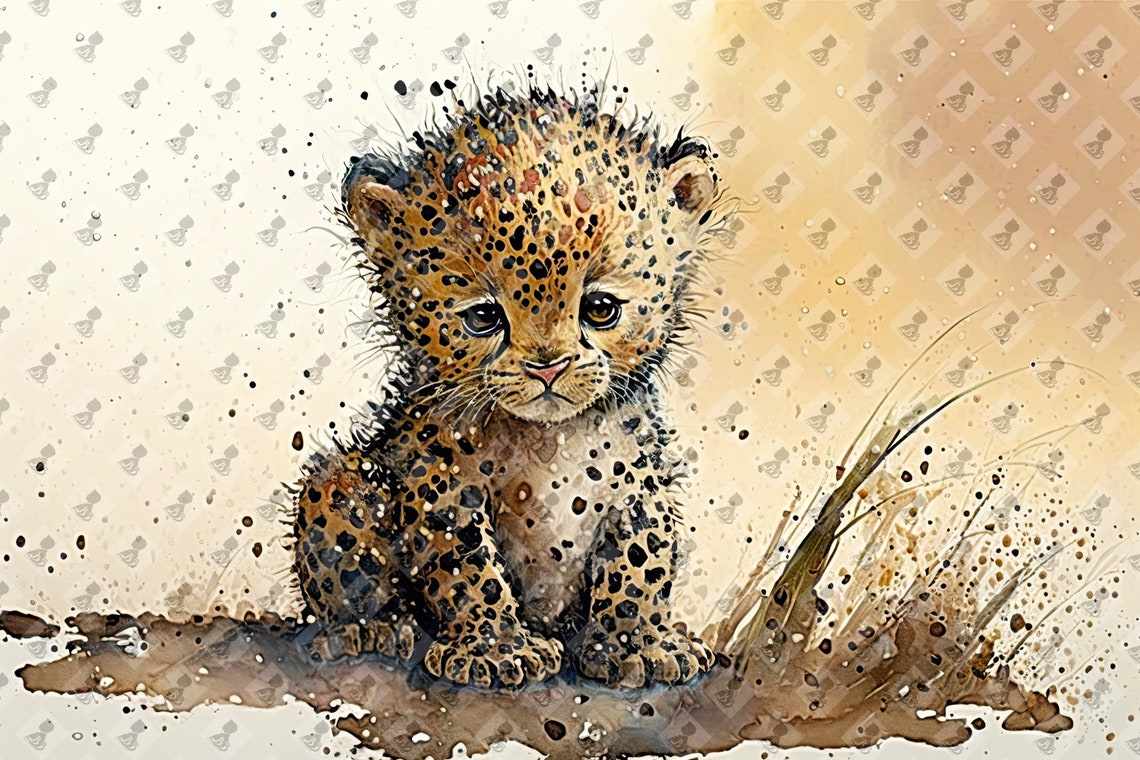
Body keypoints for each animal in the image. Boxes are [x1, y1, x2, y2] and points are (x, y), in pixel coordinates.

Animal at [290, 82, 729, 690]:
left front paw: (636, 645)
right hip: (341, 484)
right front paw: (495, 648)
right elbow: (465, 565)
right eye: (482, 317)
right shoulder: (441, 485)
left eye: (601, 308)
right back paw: (368, 628)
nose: (547, 368)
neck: (548, 443)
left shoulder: (641, 485)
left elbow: (641, 560)